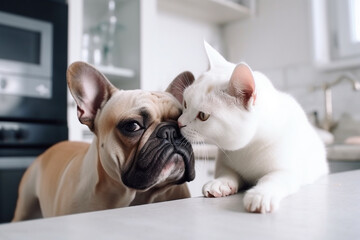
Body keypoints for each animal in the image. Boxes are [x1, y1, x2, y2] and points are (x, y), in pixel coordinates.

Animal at [174, 42, 330, 214]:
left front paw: (261, 194)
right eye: (185, 104)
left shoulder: (288, 170)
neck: (247, 148)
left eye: (203, 115)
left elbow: (272, 178)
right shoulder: (224, 161)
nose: (179, 123)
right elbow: (227, 172)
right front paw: (220, 183)